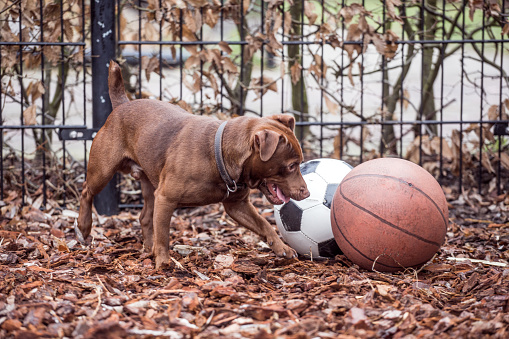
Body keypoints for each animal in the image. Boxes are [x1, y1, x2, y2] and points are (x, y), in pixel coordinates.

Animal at [77, 61, 308, 268]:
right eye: (291, 166)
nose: (306, 193)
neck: (219, 153)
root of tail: (122, 104)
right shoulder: (166, 199)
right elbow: (163, 234)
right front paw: (163, 261)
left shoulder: (237, 205)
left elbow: (264, 224)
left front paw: (281, 247)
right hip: (103, 171)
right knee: (87, 190)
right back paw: (84, 225)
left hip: (150, 185)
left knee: (144, 217)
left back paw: (148, 249)